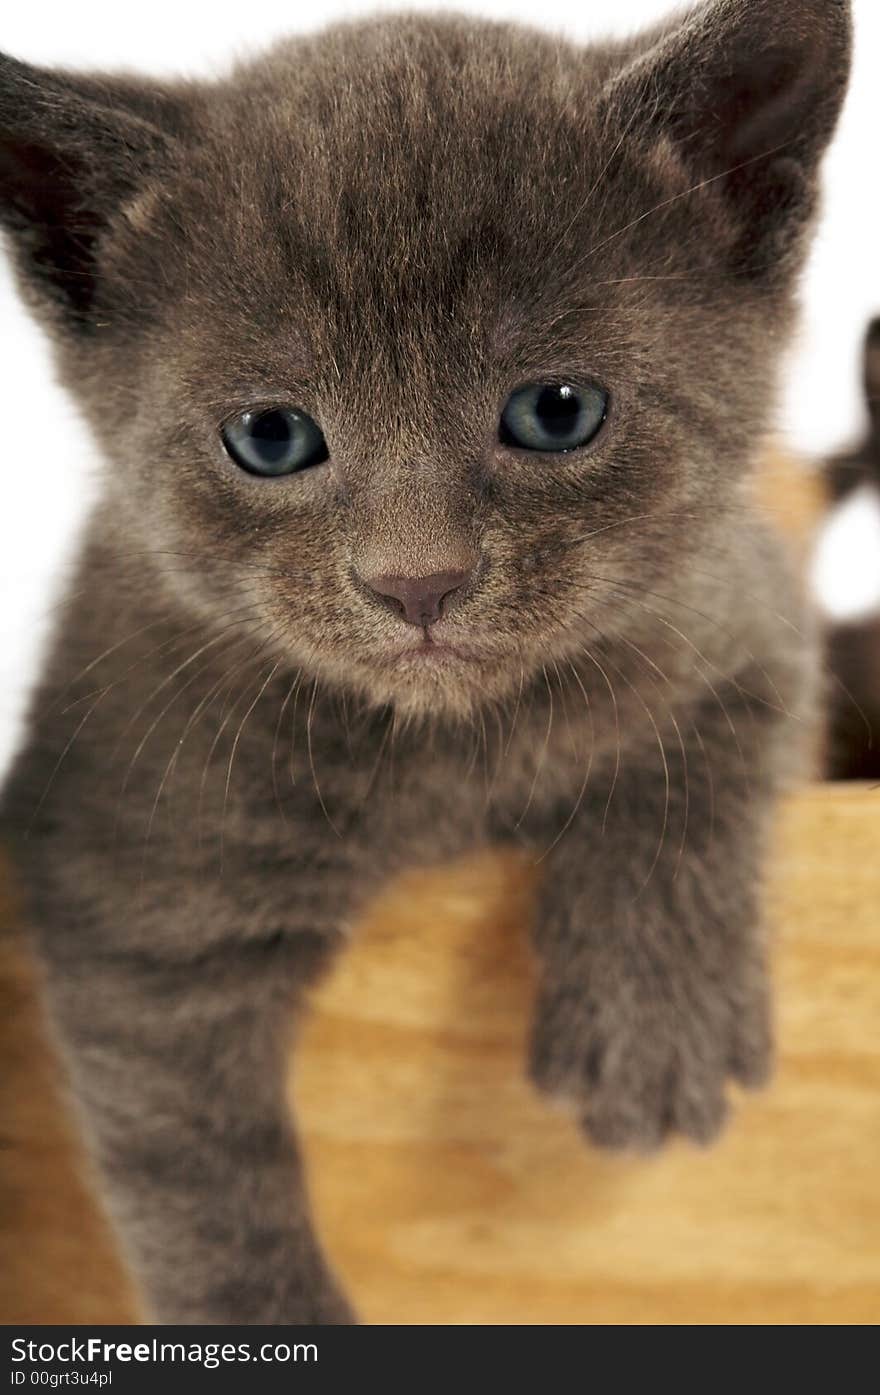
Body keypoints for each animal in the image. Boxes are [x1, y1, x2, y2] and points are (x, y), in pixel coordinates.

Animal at [0, 0, 853, 1322]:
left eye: (556, 411)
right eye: (270, 436)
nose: (417, 583)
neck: (451, 749)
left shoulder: (738, 602)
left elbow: (699, 752)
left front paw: (654, 1007)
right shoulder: (129, 864)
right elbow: (188, 1151)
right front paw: (268, 1320)